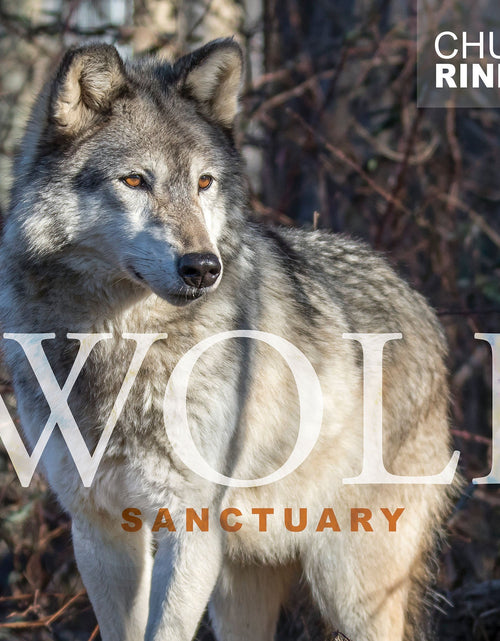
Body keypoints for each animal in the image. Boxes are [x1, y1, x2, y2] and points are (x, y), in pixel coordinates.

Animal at [0, 39, 455, 641]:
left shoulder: (190, 524)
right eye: (135, 181)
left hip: (349, 587)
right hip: (242, 588)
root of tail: (416, 298)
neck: (119, 344)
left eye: (204, 183)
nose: (202, 267)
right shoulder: (96, 524)